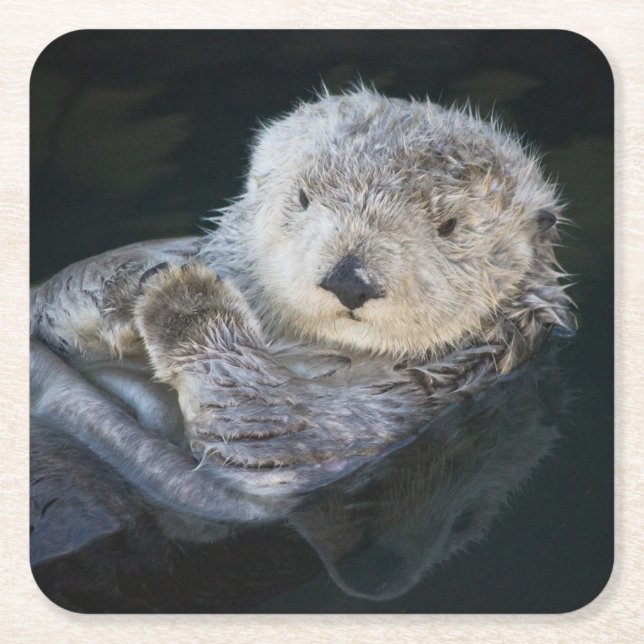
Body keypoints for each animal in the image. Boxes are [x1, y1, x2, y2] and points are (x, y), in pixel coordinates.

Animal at [30, 88, 575, 501]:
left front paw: (185, 298)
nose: (350, 279)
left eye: (450, 226)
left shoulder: (381, 418)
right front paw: (135, 281)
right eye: (303, 197)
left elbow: (271, 426)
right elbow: (51, 301)